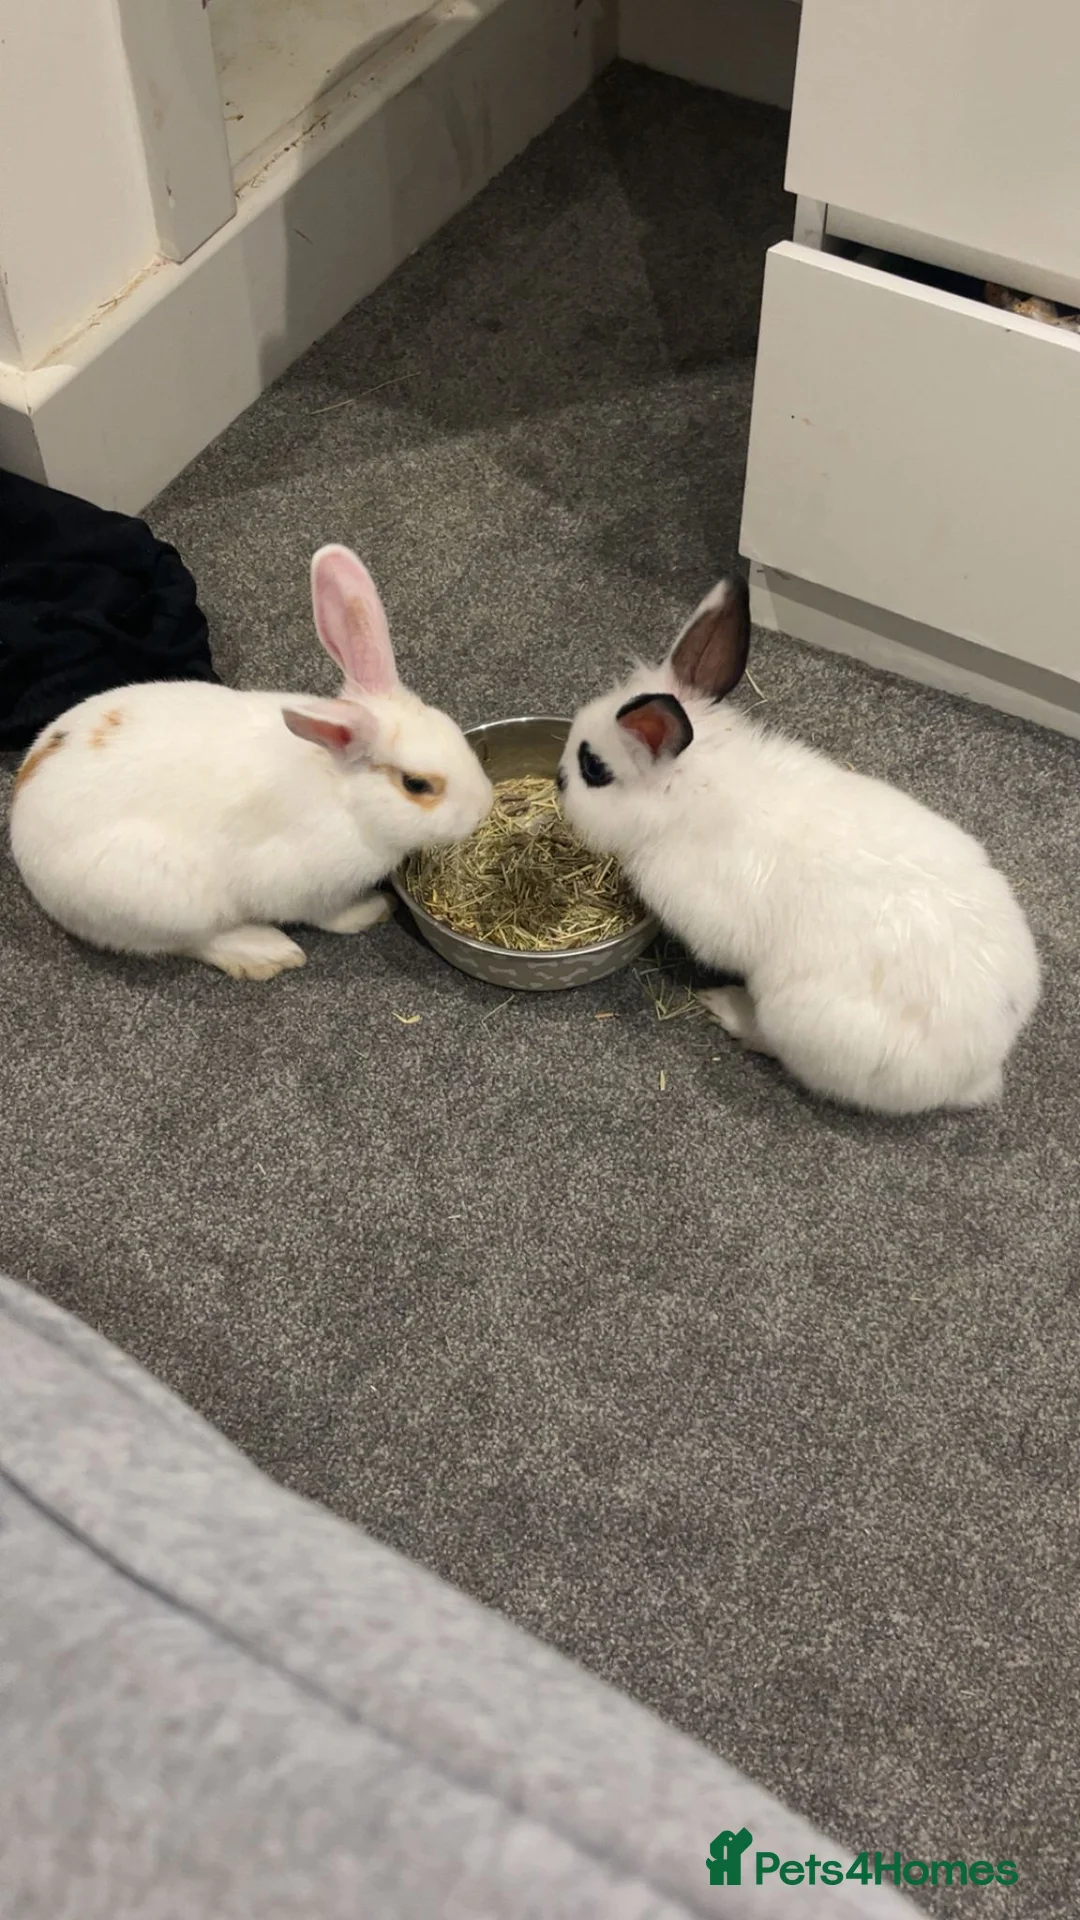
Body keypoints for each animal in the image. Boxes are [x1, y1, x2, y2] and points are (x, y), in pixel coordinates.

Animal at [9, 544, 493, 980]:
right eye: (416, 785)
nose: (484, 807)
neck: (345, 795)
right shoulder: (305, 885)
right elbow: (329, 916)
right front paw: (373, 909)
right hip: (165, 899)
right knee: (190, 942)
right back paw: (266, 952)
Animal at [557, 574, 1040, 1114]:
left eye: (593, 769)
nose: (557, 780)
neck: (685, 793)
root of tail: (980, 1069)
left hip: (796, 1019)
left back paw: (728, 1009)